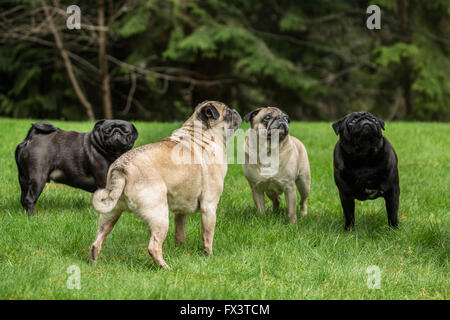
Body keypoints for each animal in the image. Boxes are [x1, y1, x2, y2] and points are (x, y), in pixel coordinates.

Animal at [89, 101, 243, 268]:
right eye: (228, 113)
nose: (236, 111)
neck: (202, 134)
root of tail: (121, 169)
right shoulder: (209, 207)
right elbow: (208, 235)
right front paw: (209, 255)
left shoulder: (180, 213)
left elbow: (180, 234)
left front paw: (180, 250)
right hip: (160, 217)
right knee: (153, 246)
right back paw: (165, 267)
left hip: (109, 214)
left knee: (96, 241)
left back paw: (92, 262)